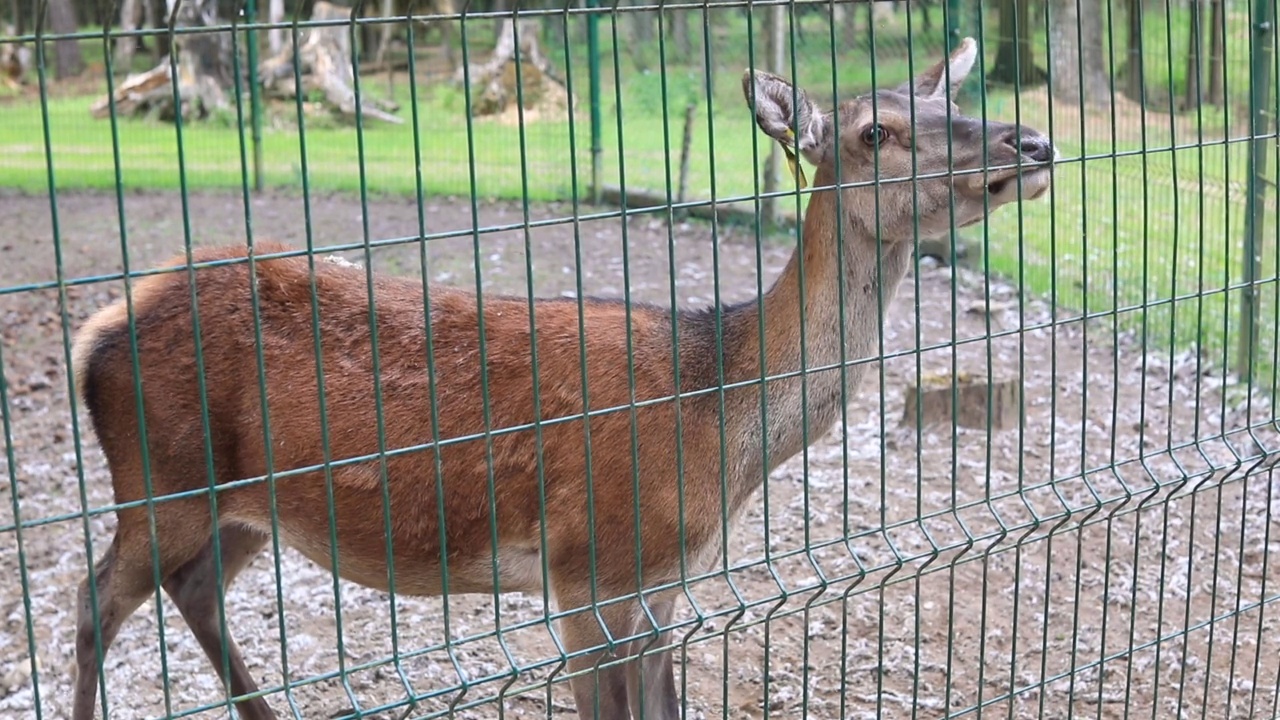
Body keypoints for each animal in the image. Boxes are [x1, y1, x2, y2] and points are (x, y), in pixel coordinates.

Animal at [70, 39, 1049, 717]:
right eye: (874, 131)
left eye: (952, 99)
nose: (1033, 142)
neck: (718, 427)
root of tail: (98, 328)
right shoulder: (587, 574)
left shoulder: (664, 587)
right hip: (159, 479)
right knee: (94, 601)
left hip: (245, 502)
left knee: (191, 589)